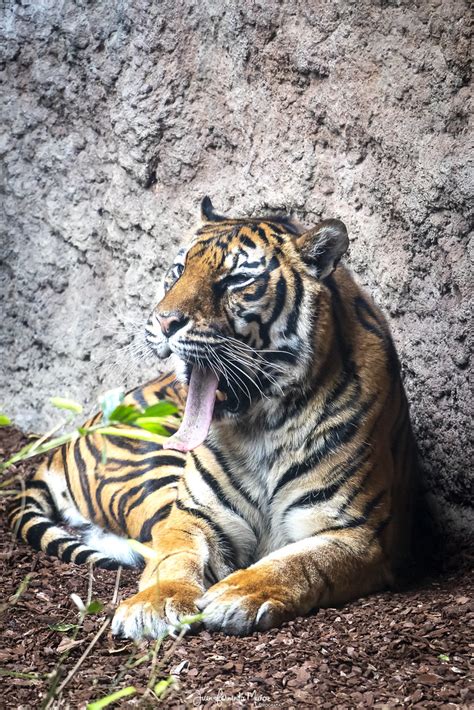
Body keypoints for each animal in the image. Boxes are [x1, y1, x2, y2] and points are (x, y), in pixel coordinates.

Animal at [7, 199, 416, 640]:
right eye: (178, 270)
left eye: (237, 279)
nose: (164, 321)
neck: (263, 428)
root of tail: (66, 442)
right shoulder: (193, 516)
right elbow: (173, 557)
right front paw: (156, 603)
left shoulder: (358, 533)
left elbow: (299, 562)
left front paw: (240, 592)